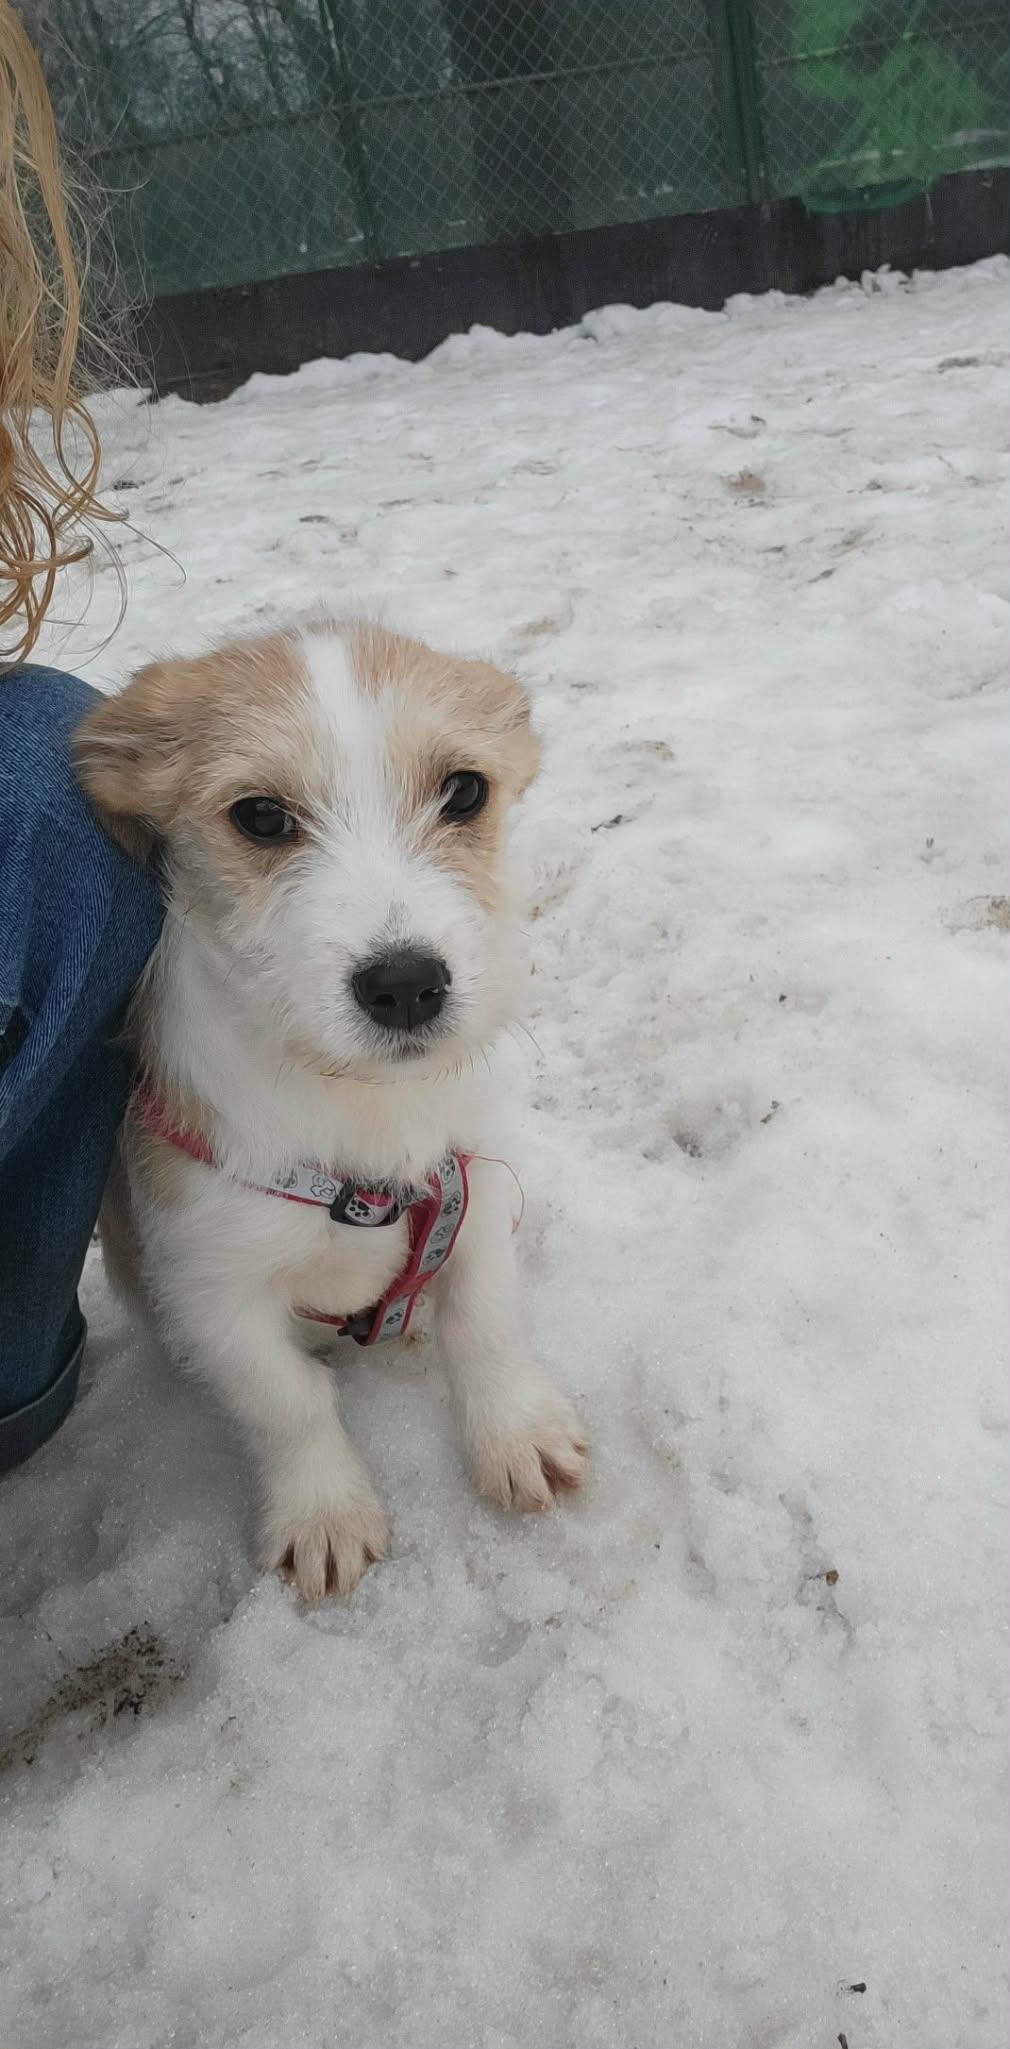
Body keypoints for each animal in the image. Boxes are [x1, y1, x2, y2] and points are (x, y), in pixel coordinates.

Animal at [74, 621, 586, 1599]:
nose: (408, 985)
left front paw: (515, 1430)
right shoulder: (209, 1286)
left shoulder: (474, 1184)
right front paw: (324, 1511)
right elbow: (288, 1404)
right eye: (261, 816)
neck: (357, 1105)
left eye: (464, 790)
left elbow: (485, 1320)